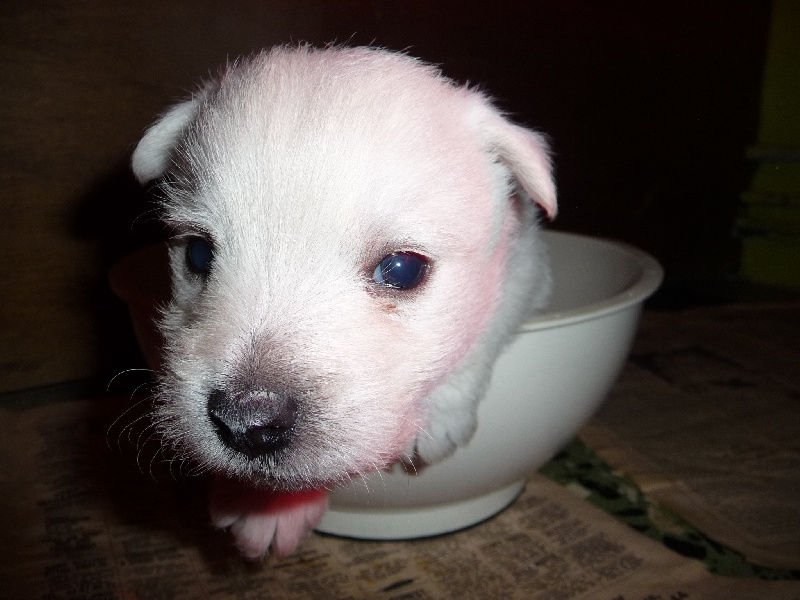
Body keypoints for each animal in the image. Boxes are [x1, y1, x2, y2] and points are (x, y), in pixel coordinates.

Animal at [130, 45, 556, 559]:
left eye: (402, 269)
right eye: (197, 253)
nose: (246, 422)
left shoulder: (527, 268)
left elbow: (484, 328)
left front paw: (441, 414)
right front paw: (260, 502)